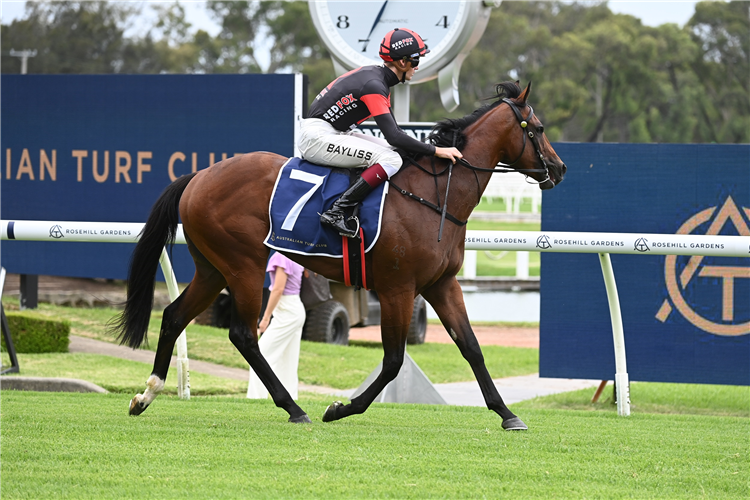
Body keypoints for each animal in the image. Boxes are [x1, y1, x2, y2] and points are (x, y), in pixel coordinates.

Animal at [110, 81, 564, 430]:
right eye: (539, 128)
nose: (559, 169)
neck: (435, 194)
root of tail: (198, 175)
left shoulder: (441, 283)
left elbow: (471, 346)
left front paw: (507, 414)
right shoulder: (398, 288)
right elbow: (394, 360)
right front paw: (340, 408)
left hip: (213, 270)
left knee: (173, 317)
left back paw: (145, 395)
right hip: (243, 265)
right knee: (243, 334)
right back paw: (294, 408)